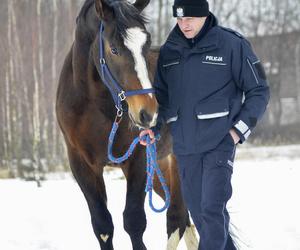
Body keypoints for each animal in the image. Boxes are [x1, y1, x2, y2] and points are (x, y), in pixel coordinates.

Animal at [56, 0, 198, 249]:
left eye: (146, 44)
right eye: (113, 49)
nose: (148, 112)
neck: (94, 104)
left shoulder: (138, 160)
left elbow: (134, 222)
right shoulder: (82, 165)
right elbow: (103, 225)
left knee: (178, 219)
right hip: (161, 167)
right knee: (185, 221)